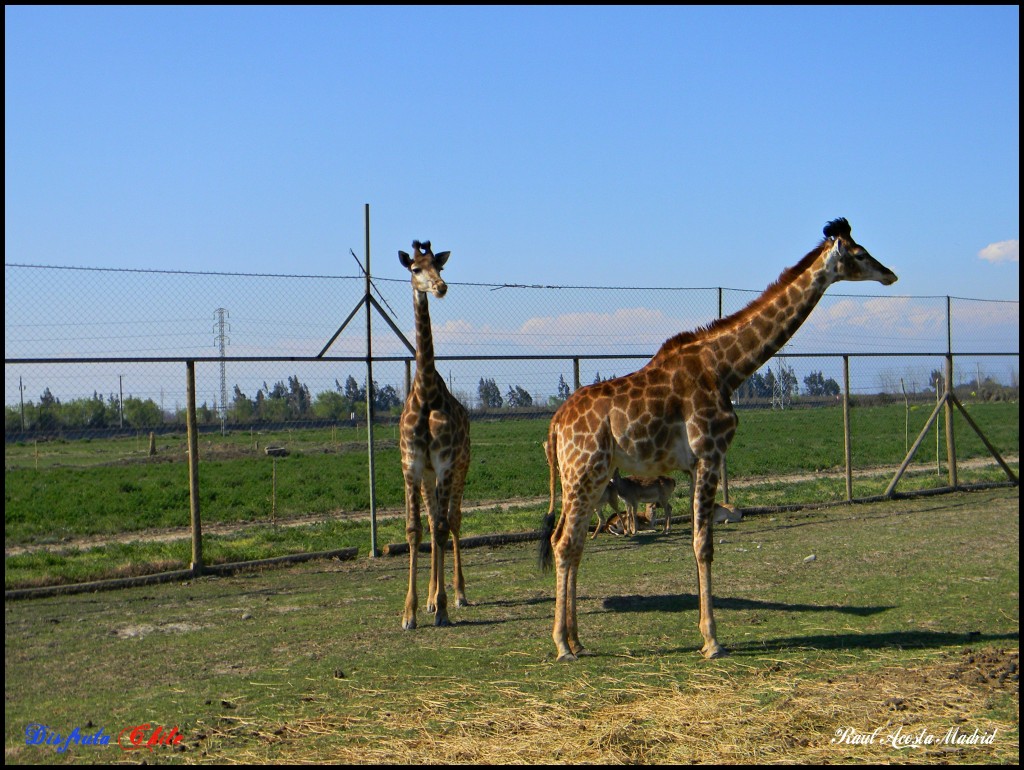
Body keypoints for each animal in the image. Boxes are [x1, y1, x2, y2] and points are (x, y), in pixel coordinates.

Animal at [536, 218, 897, 663]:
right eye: (860, 254)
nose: (890, 274)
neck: (727, 369)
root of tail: (555, 425)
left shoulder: (695, 464)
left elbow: (698, 542)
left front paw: (706, 633)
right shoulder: (709, 454)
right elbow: (704, 545)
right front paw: (712, 641)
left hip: (593, 476)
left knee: (570, 542)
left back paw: (577, 640)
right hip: (583, 472)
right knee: (566, 542)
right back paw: (561, 646)